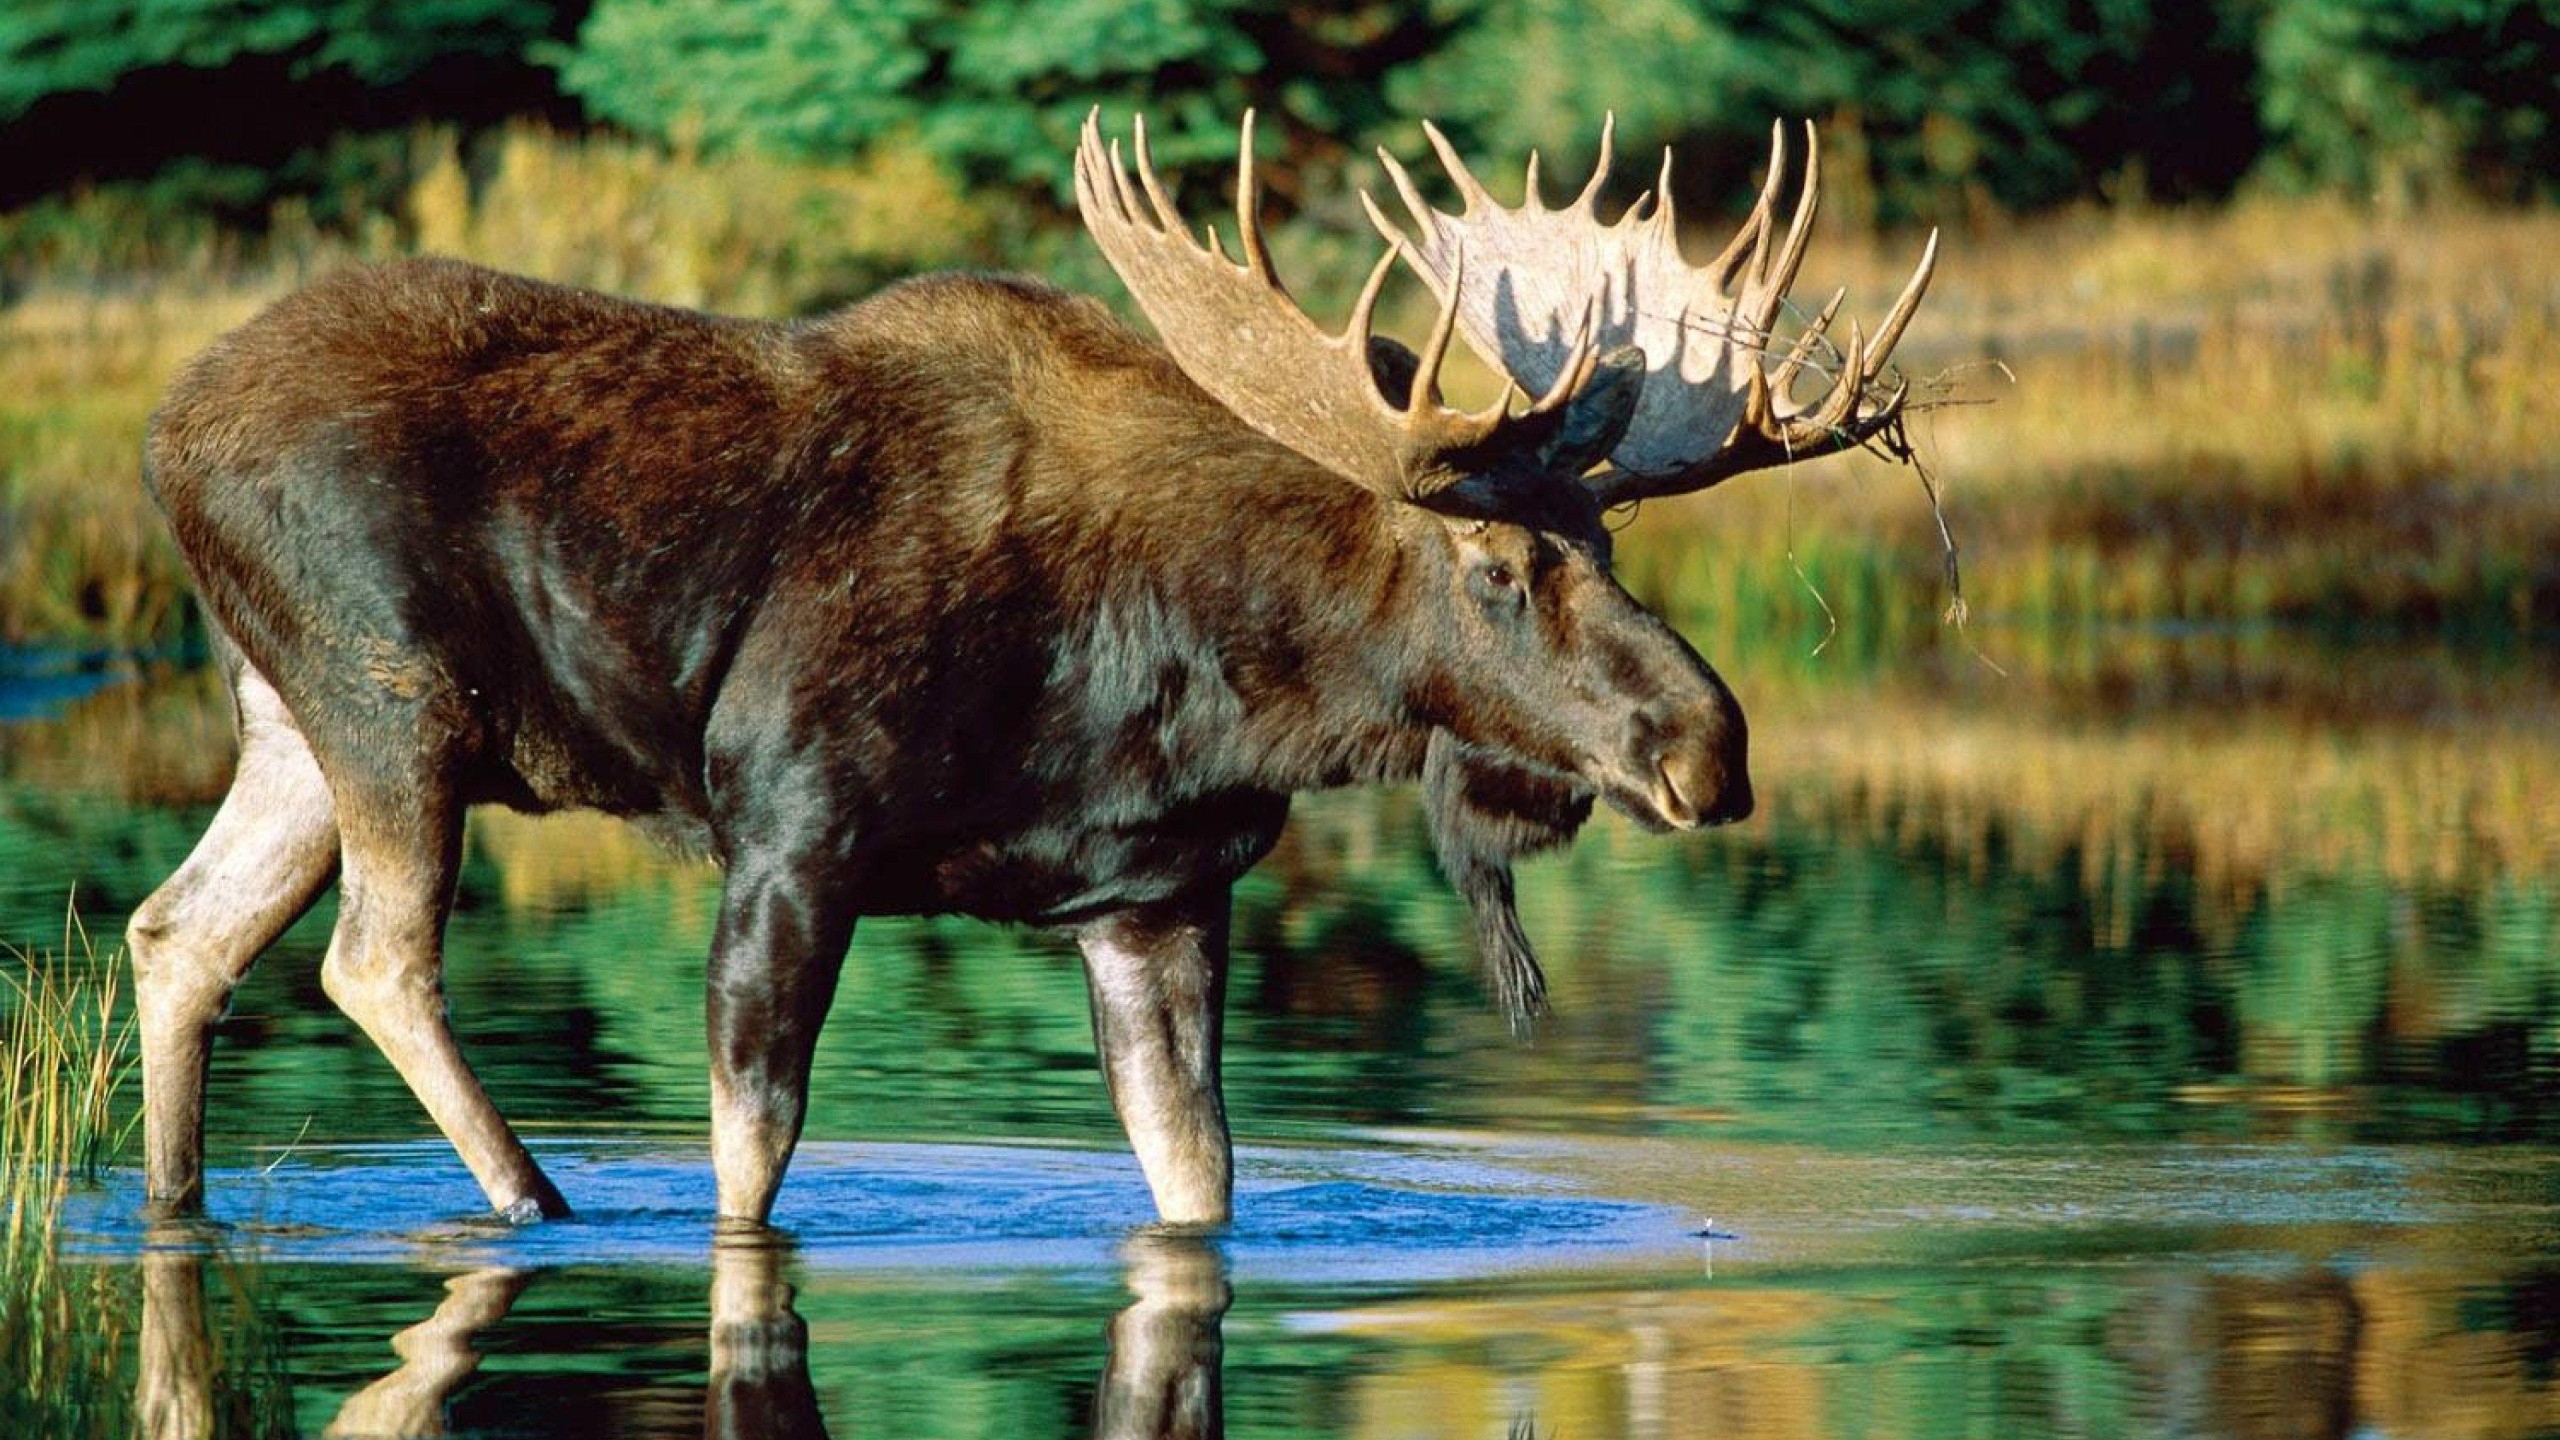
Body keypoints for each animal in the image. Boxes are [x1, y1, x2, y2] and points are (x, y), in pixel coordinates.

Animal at [126, 111, 1934, 1230]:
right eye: (1500, 569)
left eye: (1611, 546)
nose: (1710, 748)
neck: (1195, 680)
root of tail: (167, 431)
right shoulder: (790, 822)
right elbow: (750, 1162)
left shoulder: (1155, 891)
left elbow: (1198, 1180)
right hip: (388, 690)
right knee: (371, 957)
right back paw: (534, 1203)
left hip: (289, 717)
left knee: (178, 931)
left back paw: (175, 1200)